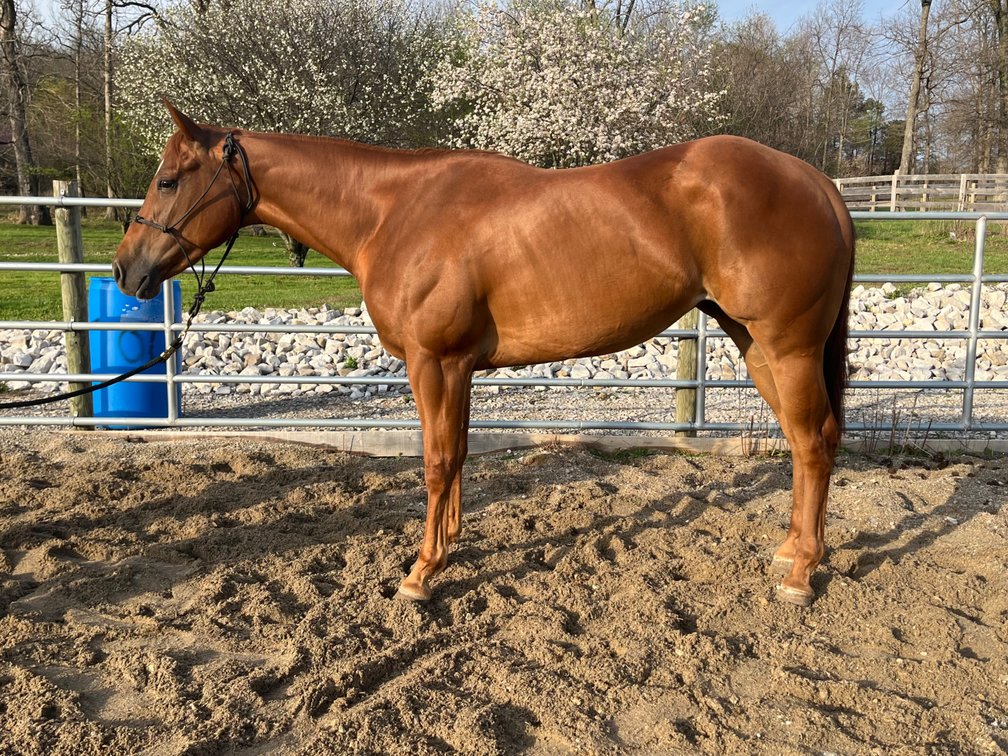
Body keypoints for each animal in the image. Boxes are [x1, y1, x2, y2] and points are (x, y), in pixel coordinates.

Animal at [114, 101, 854, 607]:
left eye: (171, 179)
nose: (126, 270)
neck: (393, 211)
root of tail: (816, 182)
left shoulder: (433, 361)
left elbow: (437, 462)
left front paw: (420, 574)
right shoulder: (459, 368)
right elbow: (460, 455)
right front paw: (447, 549)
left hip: (786, 347)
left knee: (812, 443)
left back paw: (800, 574)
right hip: (756, 346)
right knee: (806, 443)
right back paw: (791, 550)